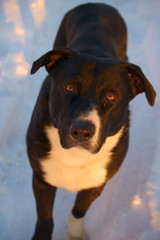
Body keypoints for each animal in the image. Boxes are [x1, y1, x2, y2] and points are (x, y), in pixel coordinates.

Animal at [26, 2, 156, 239]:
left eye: (111, 97)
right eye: (69, 87)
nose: (82, 131)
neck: (75, 156)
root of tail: (97, 4)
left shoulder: (97, 183)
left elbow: (79, 210)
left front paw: (75, 234)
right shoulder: (41, 177)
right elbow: (45, 217)